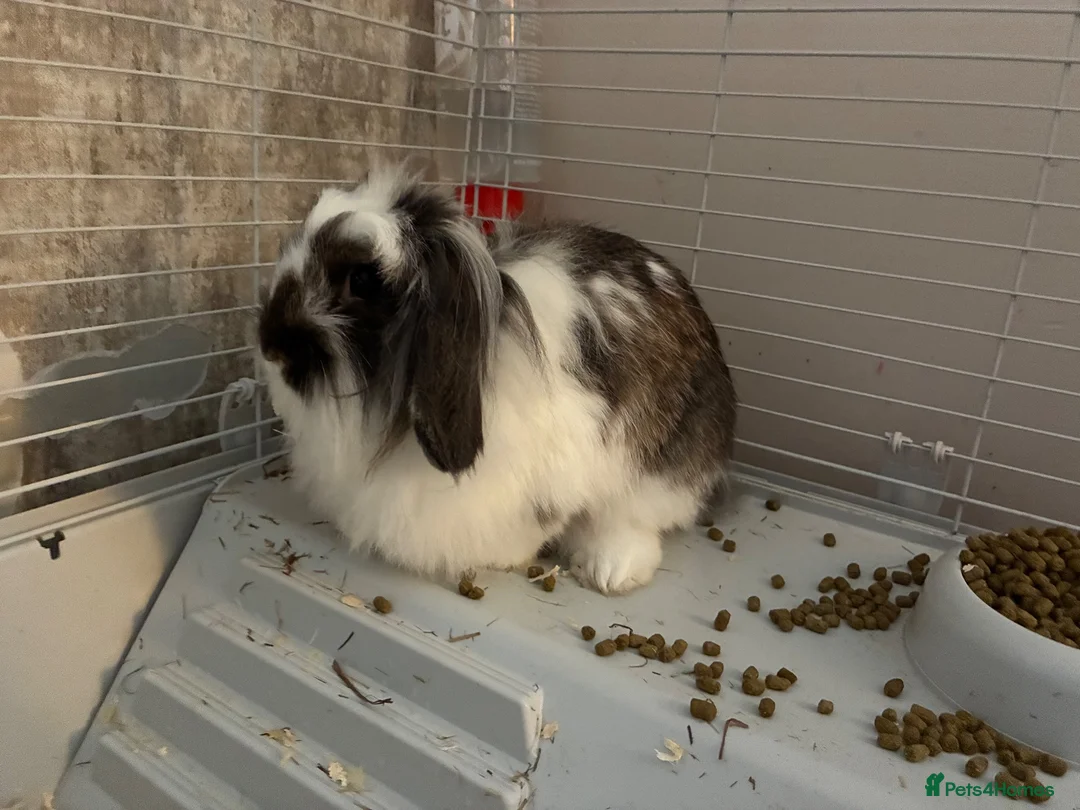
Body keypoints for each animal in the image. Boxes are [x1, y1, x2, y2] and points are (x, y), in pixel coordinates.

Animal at [257, 165, 736, 594]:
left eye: (360, 280)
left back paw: (608, 571)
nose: (269, 346)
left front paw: (504, 557)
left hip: (667, 466)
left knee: (633, 519)